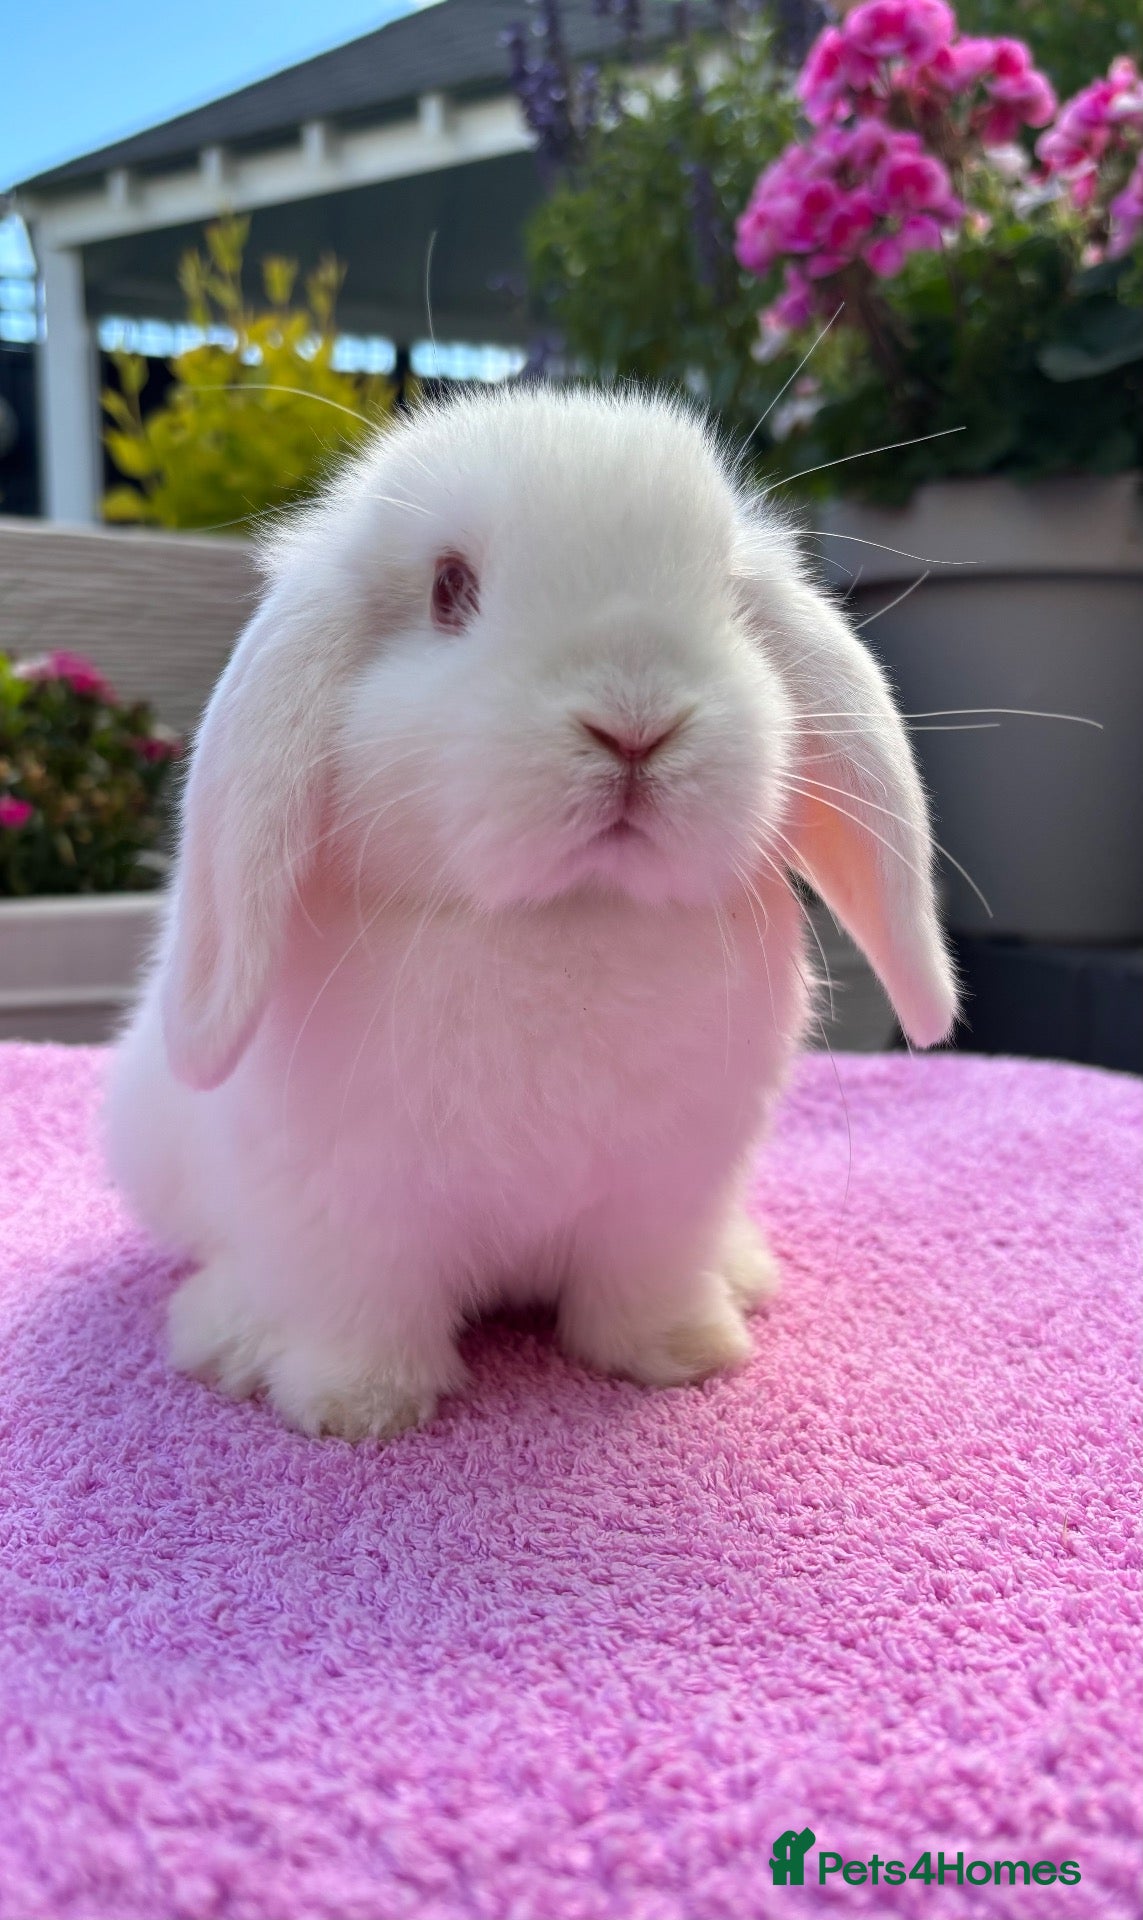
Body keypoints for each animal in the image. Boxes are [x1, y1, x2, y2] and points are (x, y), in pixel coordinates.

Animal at [105, 385, 958, 1442]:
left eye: (726, 591)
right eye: (448, 589)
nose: (634, 722)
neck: (562, 919)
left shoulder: (664, 1195)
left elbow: (644, 1287)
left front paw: (682, 1356)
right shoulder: (346, 1211)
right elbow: (356, 1308)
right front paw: (354, 1408)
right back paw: (230, 1333)